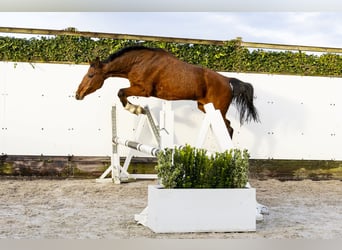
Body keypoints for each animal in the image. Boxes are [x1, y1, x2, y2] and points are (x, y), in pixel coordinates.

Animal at [75, 46, 260, 138]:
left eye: (90, 75)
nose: (78, 94)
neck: (138, 62)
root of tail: (227, 80)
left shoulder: (144, 90)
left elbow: (121, 92)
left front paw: (136, 109)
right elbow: (122, 93)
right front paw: (138, 109)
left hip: (217, 109)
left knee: (228, 128)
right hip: (205, 107)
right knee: (225, 126)